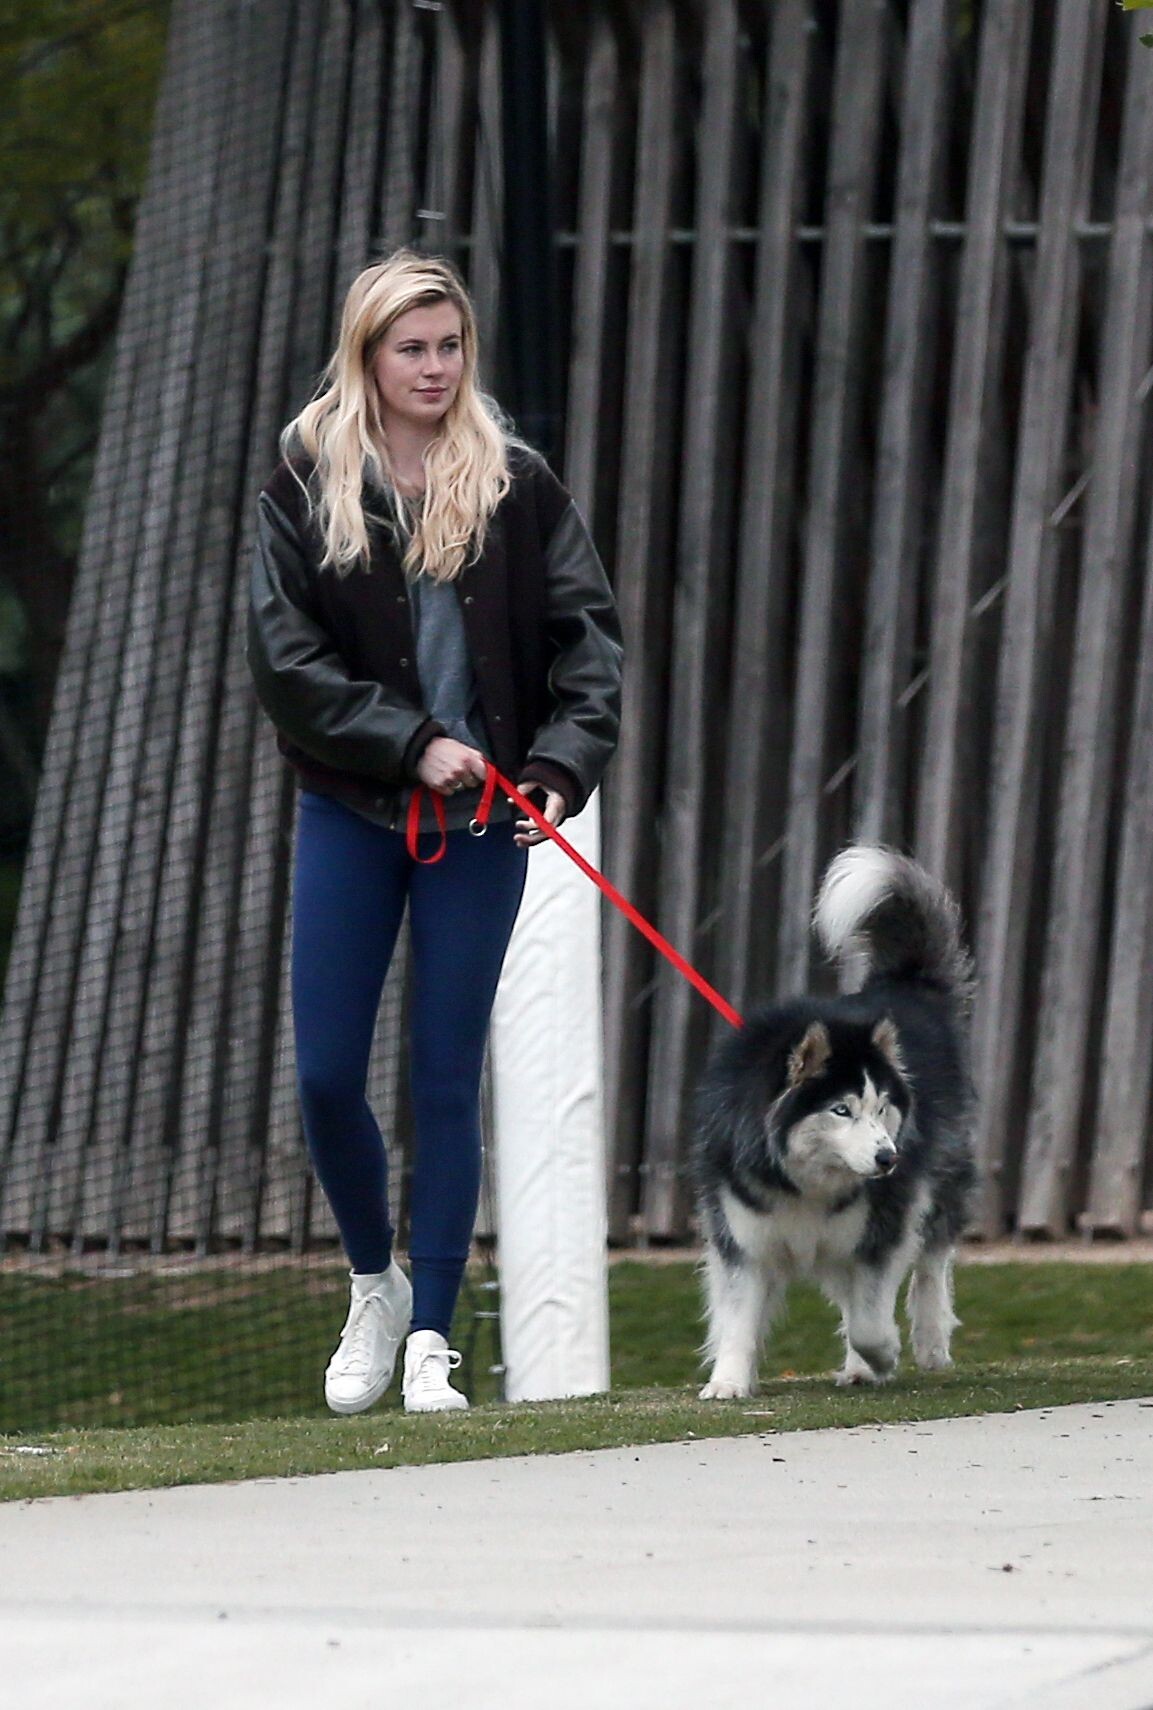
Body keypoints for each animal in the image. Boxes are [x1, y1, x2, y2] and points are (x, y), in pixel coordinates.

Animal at [693, 845, 976, 1397]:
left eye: (881, 1106)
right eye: (841, 1109)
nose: (889, 1158)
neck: (807, 1181)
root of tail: (906, 986)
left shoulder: (881, 1229)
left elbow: (870, 1317)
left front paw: (882, 1353)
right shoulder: (743, 1234)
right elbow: (738, 1315)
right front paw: (729, 1381)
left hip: (939, 1182)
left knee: (931, 1260)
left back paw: (926, 1343)